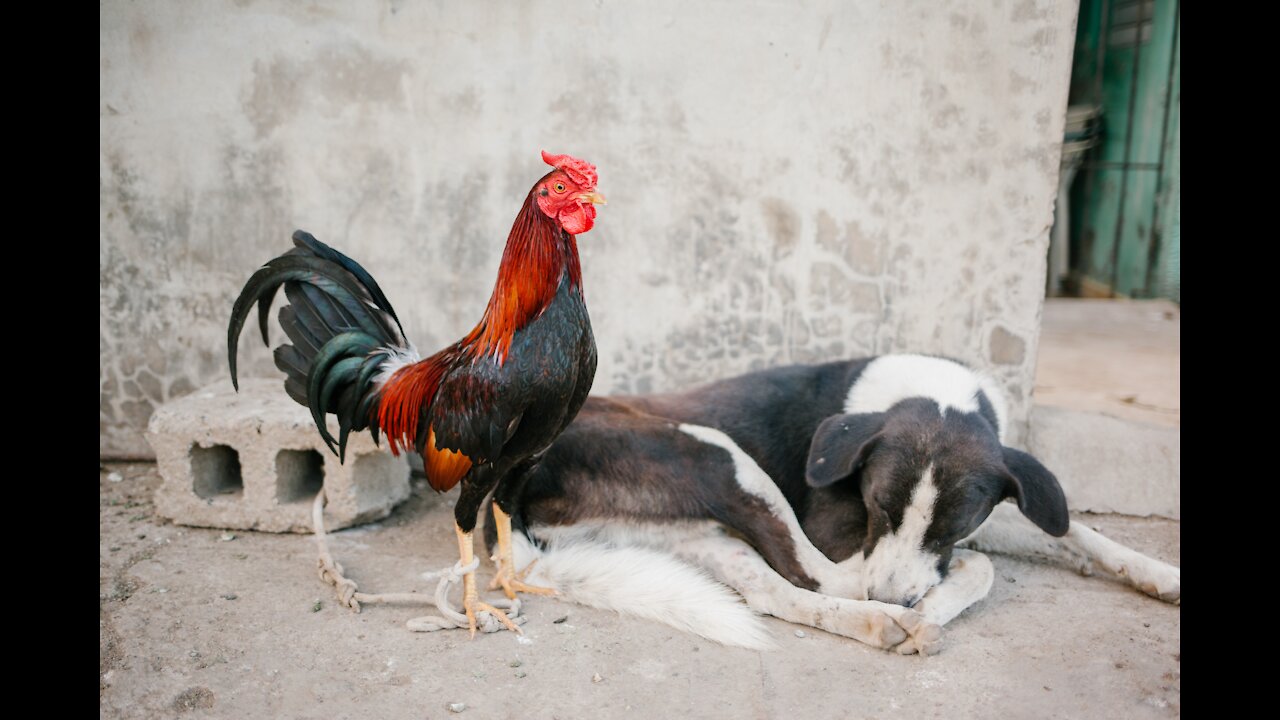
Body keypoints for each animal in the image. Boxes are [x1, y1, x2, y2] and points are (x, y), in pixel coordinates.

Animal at [486, 353, 1177, 650]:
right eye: (877, 508)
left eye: (948, 527)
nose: (897, 598)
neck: (928, 394)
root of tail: (505, 489)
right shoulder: (841, 532)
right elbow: (974, 563)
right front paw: (933, 601)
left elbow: (1073, 530)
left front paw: (1158, 573)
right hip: (717, 454)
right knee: (823, 578)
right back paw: (906, 616)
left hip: (698, 531)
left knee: (777, 592)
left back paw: (878, 623)